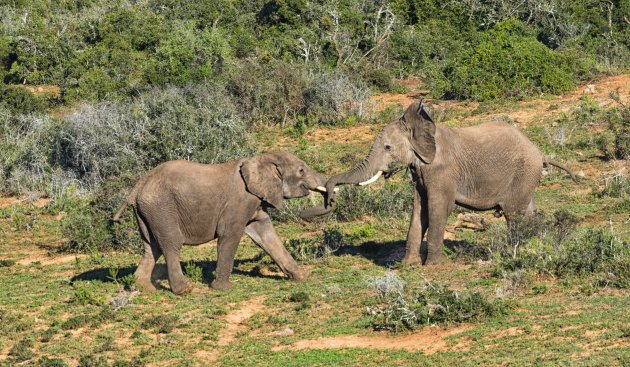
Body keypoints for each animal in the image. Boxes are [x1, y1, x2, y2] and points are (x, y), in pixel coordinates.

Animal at [112, 151, 336, 294]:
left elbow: (266, 236)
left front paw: (302, 277)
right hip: (161, 209)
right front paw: (223, 289)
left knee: (151, 248)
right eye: (301, 171)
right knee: (171, 245)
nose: (329, 199)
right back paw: (185, 290)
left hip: (147, 212)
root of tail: (138, 185)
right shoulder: (239, 201)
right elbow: (230, 235)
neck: (261, 158)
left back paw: (146, 289)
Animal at [302, 100, 576, 266]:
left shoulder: (441, 172)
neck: (421, 127)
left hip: (523, 173)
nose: (330, 198)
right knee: (526, 213)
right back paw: (534, 247)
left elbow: (437, 209)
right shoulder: (420, 173)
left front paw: (432, 266)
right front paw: (408, 265)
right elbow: (419, 211)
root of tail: (540, 153)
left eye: (388, 148)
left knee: (514, 216)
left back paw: (513, 252)